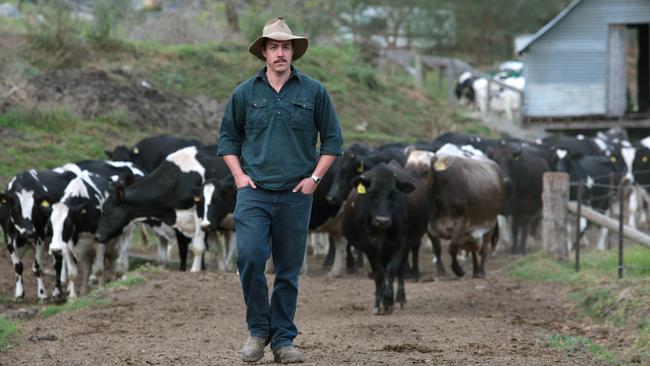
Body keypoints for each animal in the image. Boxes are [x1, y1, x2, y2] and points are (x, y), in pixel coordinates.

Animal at [342, 163, 428, 314]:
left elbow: (392, 269)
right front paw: (379, 302)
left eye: (393, 194)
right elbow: (378, 273)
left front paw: (388, 300)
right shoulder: (369, 247)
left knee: (400, 269)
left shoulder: (401, 243)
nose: (382, 220)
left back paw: (400, 298)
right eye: (371, 194)